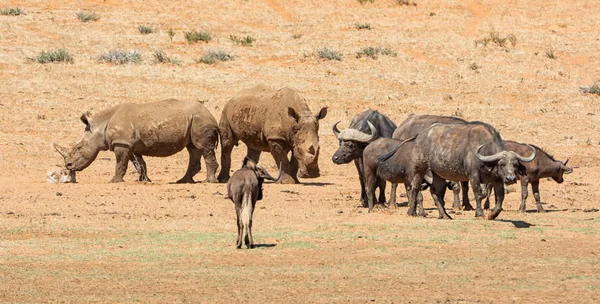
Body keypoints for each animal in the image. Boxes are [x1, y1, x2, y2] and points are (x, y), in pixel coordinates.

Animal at [54, 99, 220, 183]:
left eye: (79, 148)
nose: (68, 165)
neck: (100, 126)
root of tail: (211, 115)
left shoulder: (121, 143)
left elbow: (120, 163)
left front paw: (114, 181)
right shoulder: (129, 145)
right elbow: (139, 163)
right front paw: (144, 180)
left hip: (201, 120)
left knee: (203, 147)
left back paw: (209, 181)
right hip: (195, 120)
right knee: (193, 148)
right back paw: (183, 181)